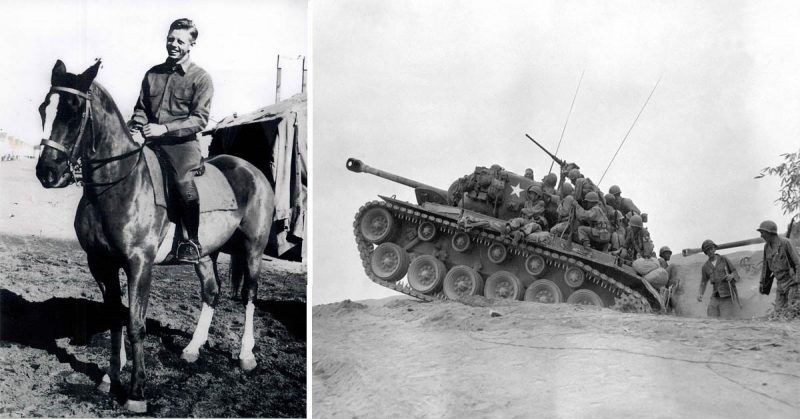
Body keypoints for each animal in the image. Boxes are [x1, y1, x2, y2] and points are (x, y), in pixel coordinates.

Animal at [36, 59, 276, 414]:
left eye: (74, 110)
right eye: (45, 108)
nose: (47, 172)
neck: (117, 185)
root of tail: (252, 170)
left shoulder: (140, 264)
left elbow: (136, 324)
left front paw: (136, 392)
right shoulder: (101, 264)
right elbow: (116, 317)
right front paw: (110, 376)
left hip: (253, 249)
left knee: (249, 295)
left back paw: (246, 356)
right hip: (205, 253)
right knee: (212, 293)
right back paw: (191, 349)